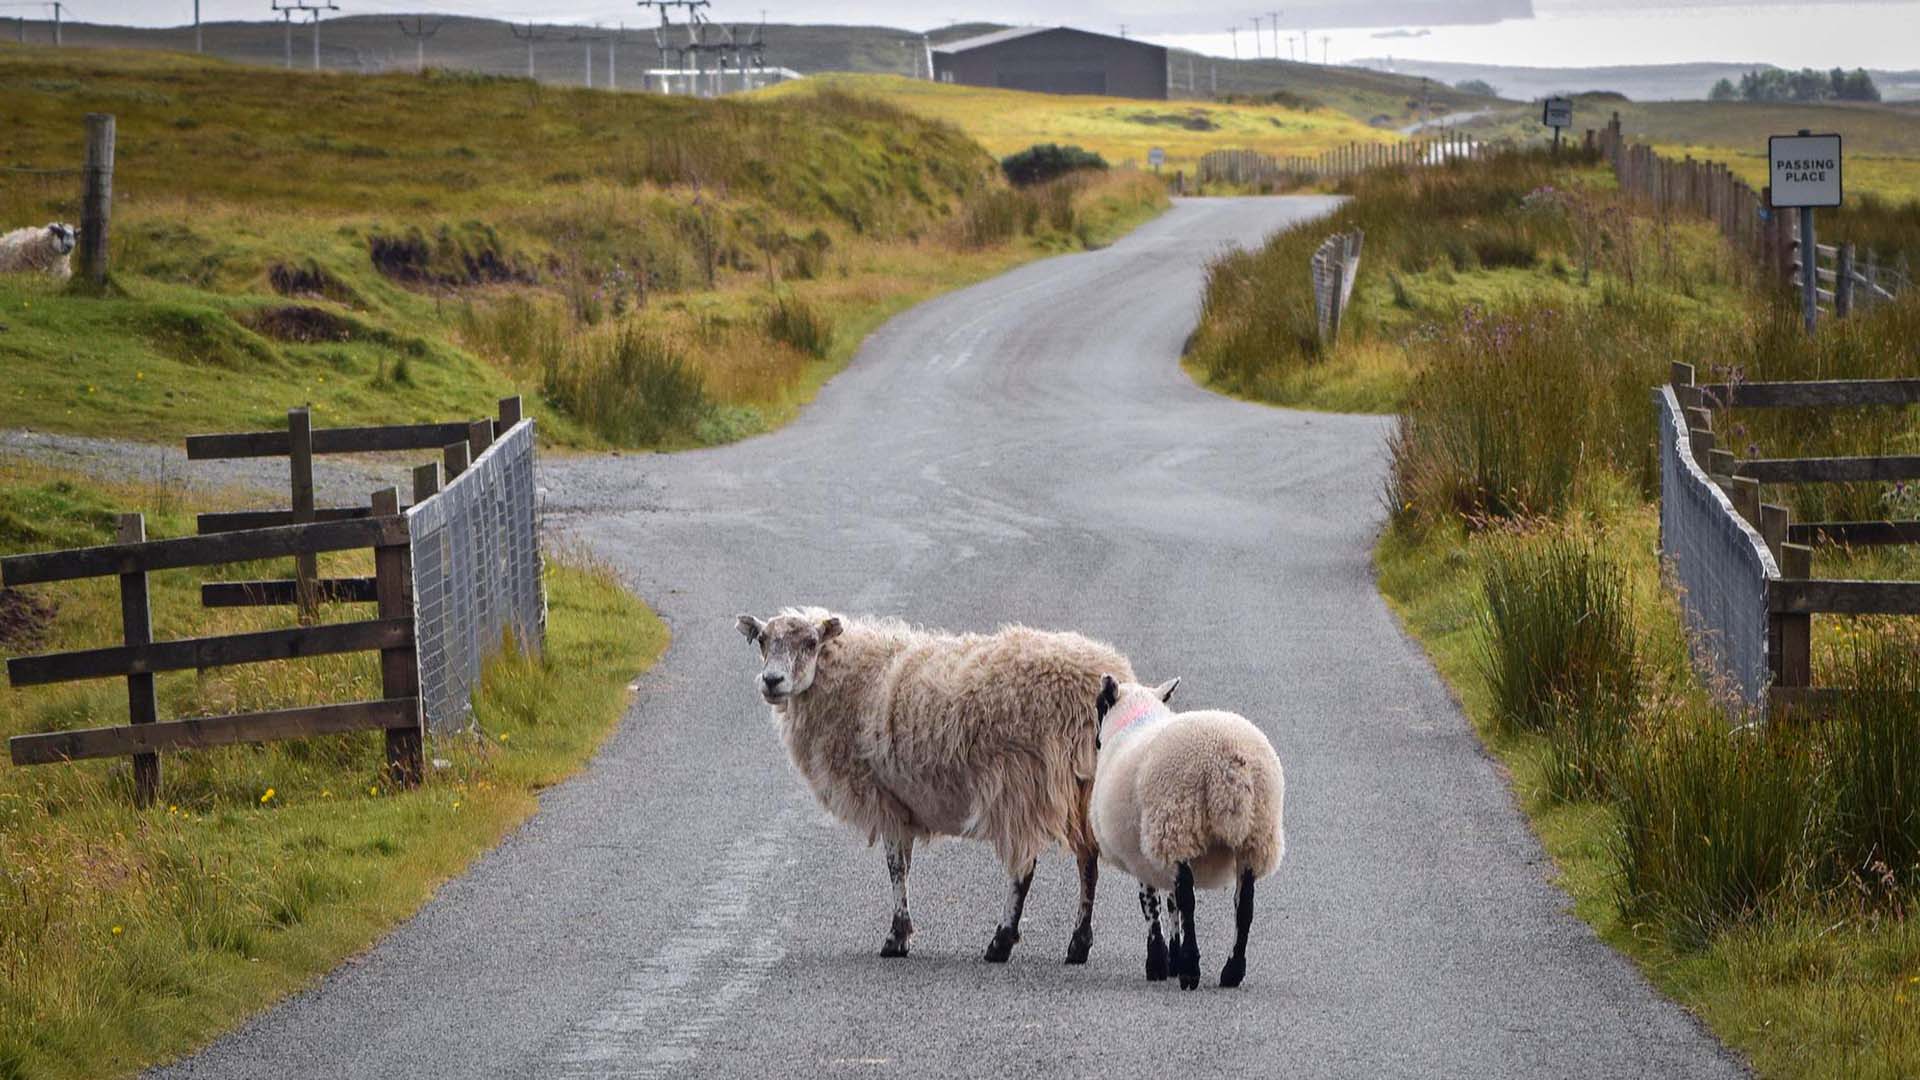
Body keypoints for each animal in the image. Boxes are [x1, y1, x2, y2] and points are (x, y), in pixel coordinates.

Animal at [729, 599, 1121, 960]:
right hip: (1082, 786)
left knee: (1024, 870)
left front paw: (896, 937)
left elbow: (895, 867)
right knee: (1088, 862)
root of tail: (1104, 678)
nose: (772, 681)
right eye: (762, 640)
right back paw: (1078, 944)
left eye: (811, 643)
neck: (854, 678)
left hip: (1021, 782)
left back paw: (1001, 942)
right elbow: (904, 865)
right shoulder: (903, 802)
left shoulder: (884, 797)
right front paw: (901, 933)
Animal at [1098, 676, 1290, 991]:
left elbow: (1152, 904)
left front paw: (1159, 963)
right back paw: (1231, 971)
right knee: (1244, 905)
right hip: (1255, 835)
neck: (1136, 717)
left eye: (1099, 705)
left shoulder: (1145, 849)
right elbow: (1170, 901)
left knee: (1189, 898)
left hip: (1177, 823)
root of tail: (1229, 761)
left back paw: (1190, 970)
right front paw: (1171, 960)